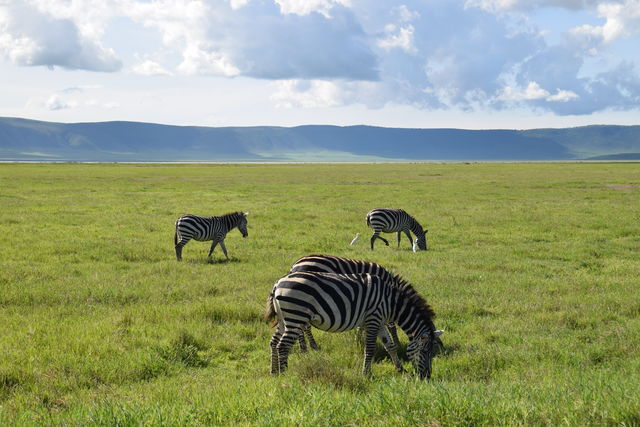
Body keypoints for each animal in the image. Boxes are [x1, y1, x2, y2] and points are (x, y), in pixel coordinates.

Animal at [264, 272, 440, 380]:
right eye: (426, 352)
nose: (426, 377)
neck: (392, 303)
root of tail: (278, 283)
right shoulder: (373, 319)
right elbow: (370, 349)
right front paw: (366, 374)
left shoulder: (380, 322)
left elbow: (390, 345)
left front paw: (400, 368)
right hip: (296, 316)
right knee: (283, 345)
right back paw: (284, 374)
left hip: (284, 318)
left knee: (273, 342)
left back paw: (274, 372)